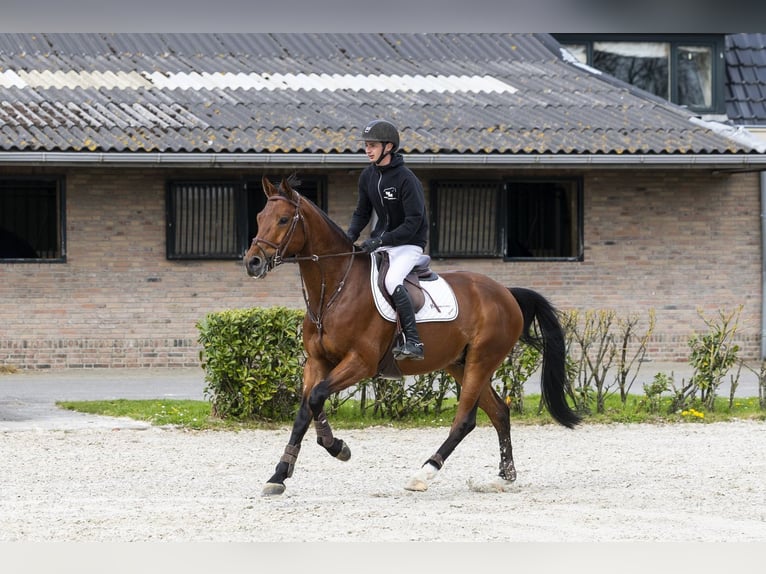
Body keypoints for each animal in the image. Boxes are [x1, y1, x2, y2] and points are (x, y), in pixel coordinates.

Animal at [244, 175, 580, 496]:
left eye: (283, 219)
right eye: (259, 216)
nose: (253, 262)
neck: (334, 290)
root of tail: (506, 293)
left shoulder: (360, 362)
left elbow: (317, 397)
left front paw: (337, 447)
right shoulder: (316, 362)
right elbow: (305, 411)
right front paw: (279, 475)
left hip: (481, 360)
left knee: (465, 420)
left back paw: (424, 474)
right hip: (459, 364)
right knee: (499, 412)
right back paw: (505, 477)